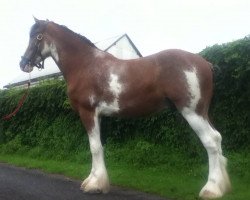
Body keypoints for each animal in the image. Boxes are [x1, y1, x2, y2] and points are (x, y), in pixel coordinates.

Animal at [19, 18, 230, 198]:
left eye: (37, 36)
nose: (23, 63)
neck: (85, 65)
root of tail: (204, 63)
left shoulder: (88, 112)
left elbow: (94, 147)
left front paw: (95, 185)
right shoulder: (98, 116)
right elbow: (98, 146)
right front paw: (93, 180)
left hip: (192, 112)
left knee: (211, 141)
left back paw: (211, 189)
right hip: (202, 112)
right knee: (218, 138)